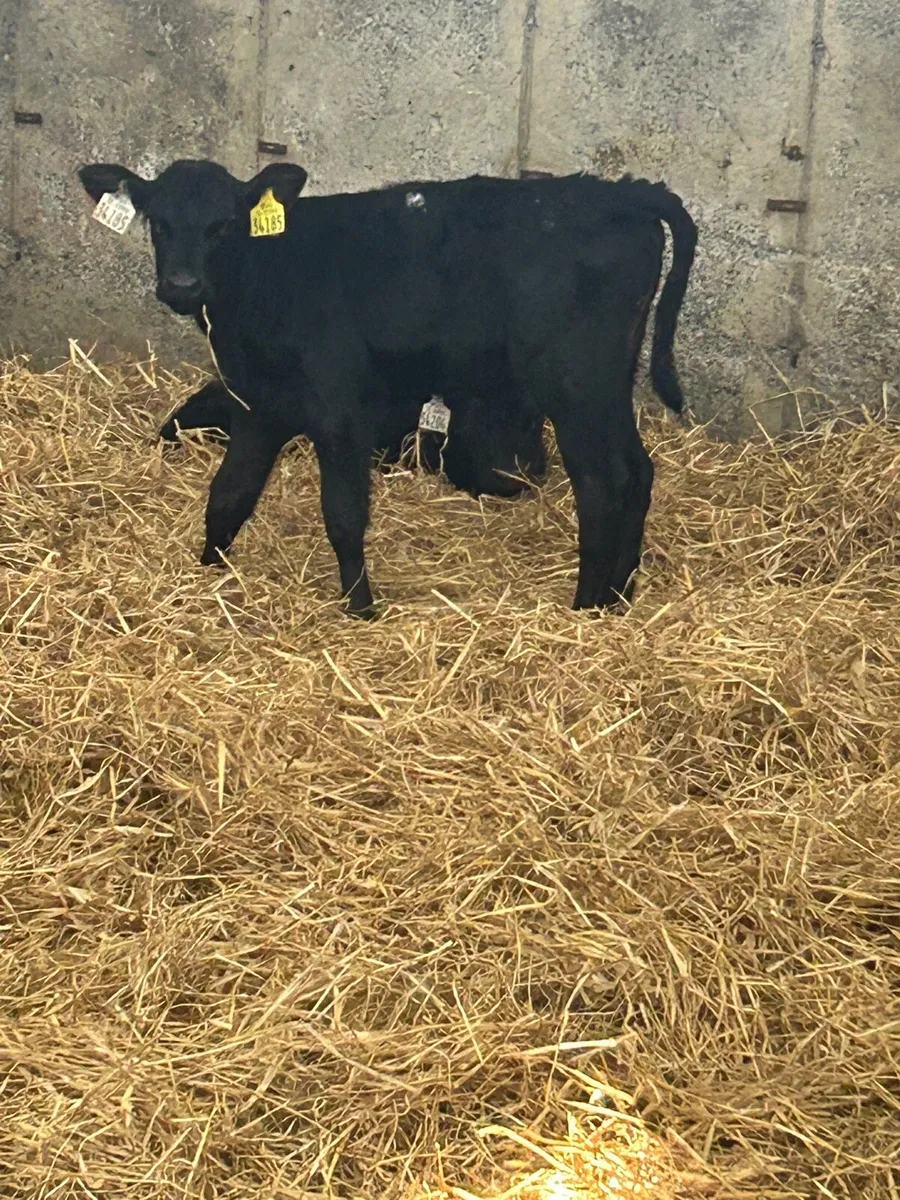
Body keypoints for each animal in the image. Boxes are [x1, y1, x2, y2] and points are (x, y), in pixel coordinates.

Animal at [78, 159, 697, 617]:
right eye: (157, 221)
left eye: (224, 224)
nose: (181, 285)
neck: (269, 276)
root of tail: (623, 194)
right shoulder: (257, 409)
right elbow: (228, 497)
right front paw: (206, 573)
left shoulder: (338, 413)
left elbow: (343, 514)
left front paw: (360, 608)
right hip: (608, 385)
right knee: (637, 473)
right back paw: (619, 597)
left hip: (575, 387)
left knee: (601, 487)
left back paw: (586, 604)